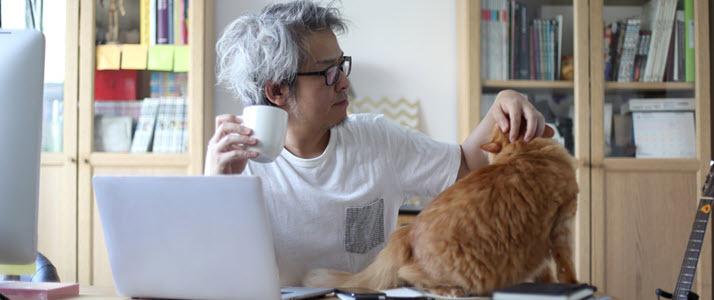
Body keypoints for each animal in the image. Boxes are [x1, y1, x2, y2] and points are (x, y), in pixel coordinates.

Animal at [302, 123, 580, 296]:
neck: (524, 152)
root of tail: (406, 232)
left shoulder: (540, 241)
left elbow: (544, 270)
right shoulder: (562, 224)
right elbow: (565, 266)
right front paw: (573, 286)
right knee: (410, 277)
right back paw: (450, 291)